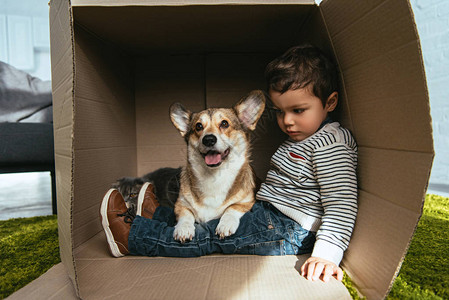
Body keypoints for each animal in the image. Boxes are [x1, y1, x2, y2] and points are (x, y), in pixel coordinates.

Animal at [170, 90, 264, 243]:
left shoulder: (248, 202)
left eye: (224, 123)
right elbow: (186, 215)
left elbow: (231, 208)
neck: (214, 175)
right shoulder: (180, 204)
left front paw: (225, 225)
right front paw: (183, 229)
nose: (208, 139)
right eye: (198, 126)